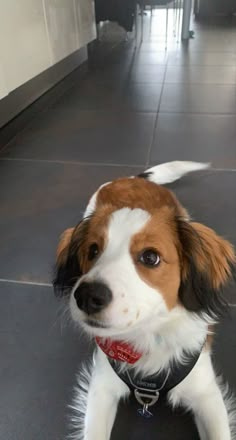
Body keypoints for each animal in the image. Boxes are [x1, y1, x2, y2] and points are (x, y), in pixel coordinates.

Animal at [53, 162, 236, 440]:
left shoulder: (206, 393)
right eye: (93, 250)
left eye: (150, 257)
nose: (86, 296)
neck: (148, 335)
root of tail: (130, 179)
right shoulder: (102, 386)